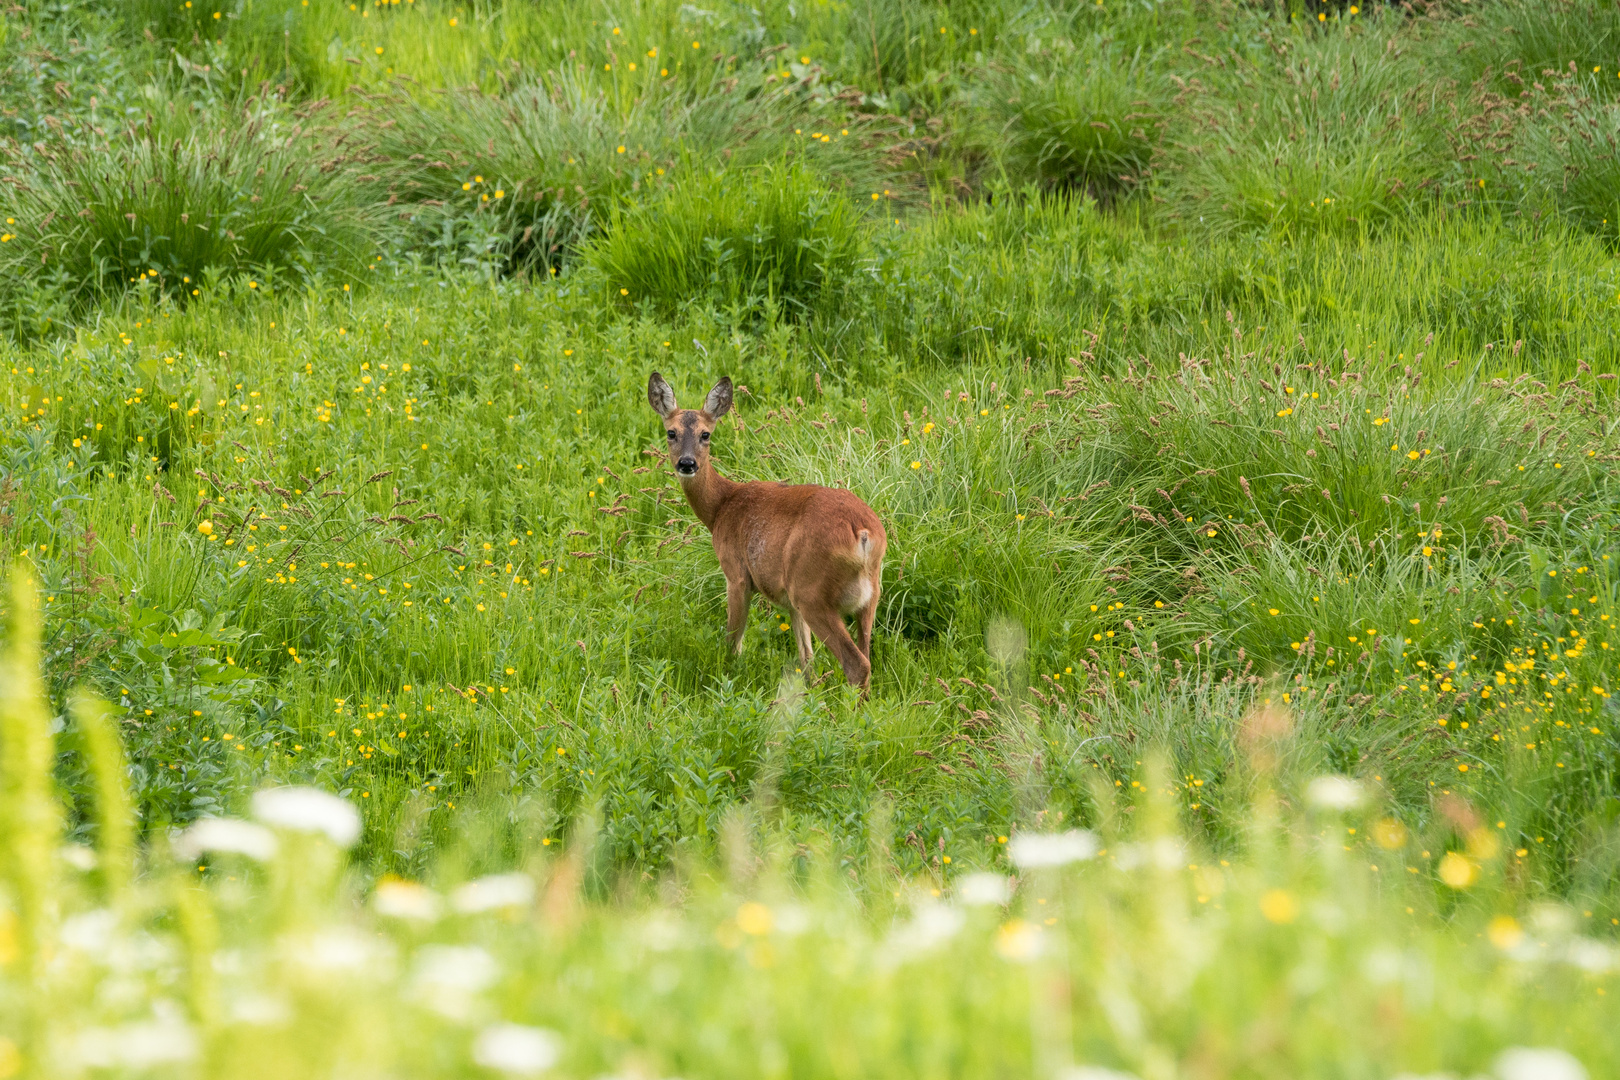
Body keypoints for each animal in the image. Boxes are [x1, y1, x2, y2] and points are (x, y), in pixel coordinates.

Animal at [648, 372, 887, 693]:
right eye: (671, 432)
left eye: (705, 434)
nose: (687, 463)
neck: (722, 507)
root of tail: (863, 533)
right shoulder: (788, 599)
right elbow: (806, 657)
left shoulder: (736, 573)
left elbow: (733, 640)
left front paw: (728, 675)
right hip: (866, 594)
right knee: (865, 654)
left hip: (812, 591)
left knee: (857, 664)